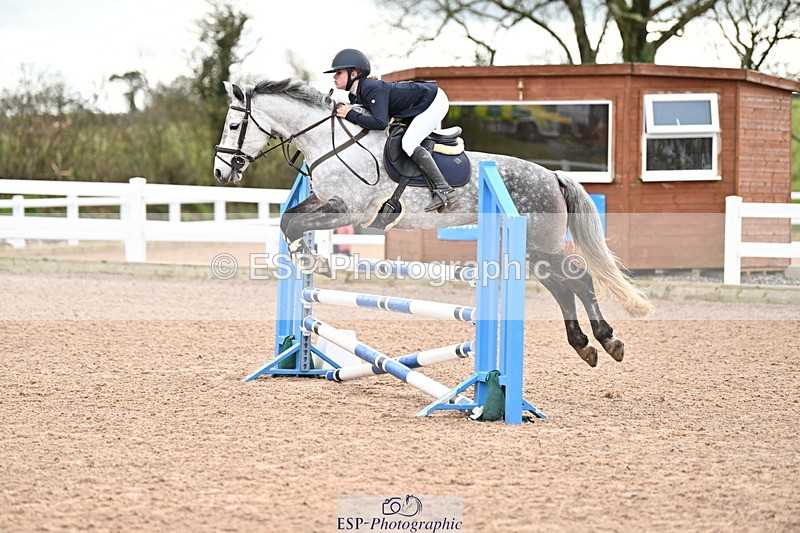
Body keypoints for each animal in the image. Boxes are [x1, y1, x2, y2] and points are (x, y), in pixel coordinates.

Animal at [213, 78, 652, 367]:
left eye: (234, 126)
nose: (221, 171)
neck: (331, 143)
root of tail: (553, 175)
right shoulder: (326, 202)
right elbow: (290, 218)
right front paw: (304, 256)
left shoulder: (351, 209)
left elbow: (292, 224)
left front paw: (305, 256)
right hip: (533, 250)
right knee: (562, 286)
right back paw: (585, 346)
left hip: (541, 244)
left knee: (578, 277)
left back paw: (608, 341)